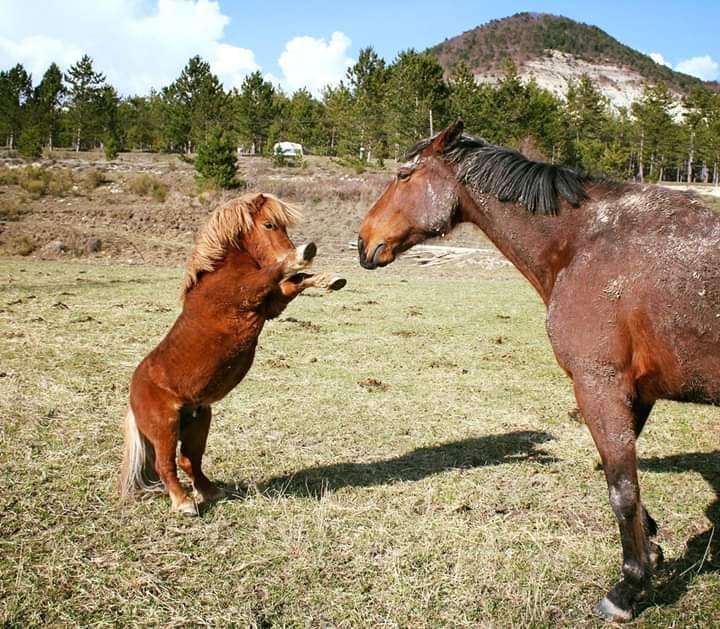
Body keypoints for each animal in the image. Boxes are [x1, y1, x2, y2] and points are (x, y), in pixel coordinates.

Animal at [120, 192, 345, 516]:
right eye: (269, 224)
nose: (293, 247)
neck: (219, 273)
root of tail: (132, 395)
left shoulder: (272, 304)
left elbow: (295, 282)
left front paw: (331, 279)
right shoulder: (248, 293)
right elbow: (278, 272)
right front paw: (302, 255)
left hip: (199, 421)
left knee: (189, 461)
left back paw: (211, 492)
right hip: (165, 427)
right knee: (166, 464)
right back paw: (184, 503)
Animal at [357, 120, 720, 622]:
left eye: (403, 175)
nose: (363, 241)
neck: (584, 244)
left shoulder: (599, 385)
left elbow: (622, 490)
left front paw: (627, 587)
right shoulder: (634, 392)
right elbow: (630, 481)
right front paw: (649, 551)